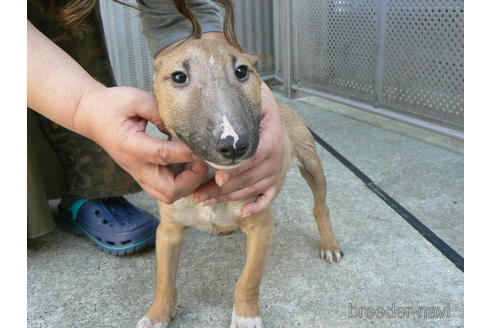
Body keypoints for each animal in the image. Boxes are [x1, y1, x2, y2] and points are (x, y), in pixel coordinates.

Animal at [136, 39, 340, 328]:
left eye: (241, 71)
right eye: (178, 76)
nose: (233, 144)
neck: (214, 176)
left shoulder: (261, 225)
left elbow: (248, 280)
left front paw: (245, 316)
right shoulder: (167, 231)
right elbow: (164, 280)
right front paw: (156, 316)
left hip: (312, 164)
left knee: (320, 207)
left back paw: (330, 244)